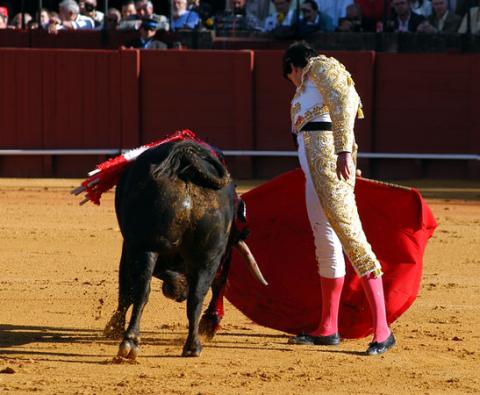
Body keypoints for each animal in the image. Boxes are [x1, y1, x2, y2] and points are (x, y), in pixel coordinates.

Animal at [104, 141, 266, 360]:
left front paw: (113, 328)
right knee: (195, 297)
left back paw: (131, 340)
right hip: (206, 256)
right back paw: (192, 346)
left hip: (146, 247)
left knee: (141, 290)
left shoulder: (129, 247)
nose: (177, 293)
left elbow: (125, 289)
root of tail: (187, 159)